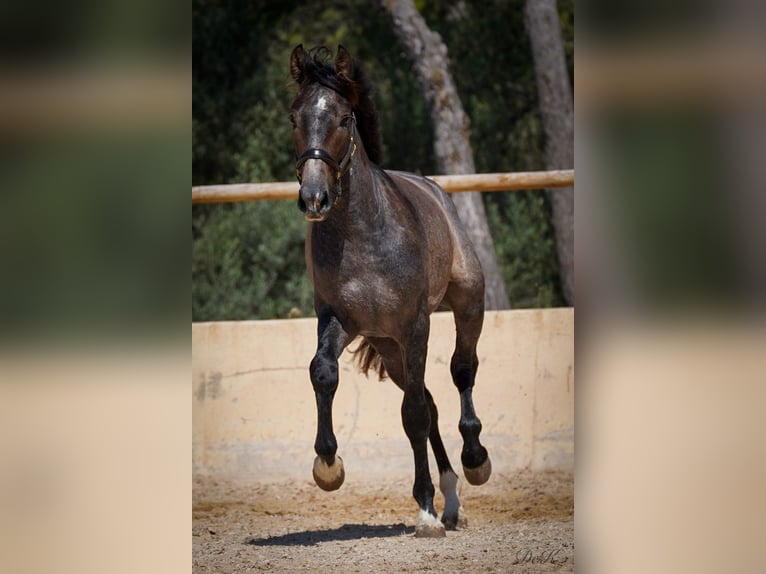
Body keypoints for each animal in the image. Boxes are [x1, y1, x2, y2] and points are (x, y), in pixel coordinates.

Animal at [288, 46, 492, 540]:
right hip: (389, 348)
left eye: (344, 118)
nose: (314, 198)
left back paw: (473, 464)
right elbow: (323, 372)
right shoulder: (338, 319)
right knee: (429, 399)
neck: (363, 235)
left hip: (465, 305)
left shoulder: (415, 325)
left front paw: (424, 511)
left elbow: (414, 413)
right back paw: (451, 500)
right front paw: (328, 466)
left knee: (460, 372)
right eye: (294, 117)